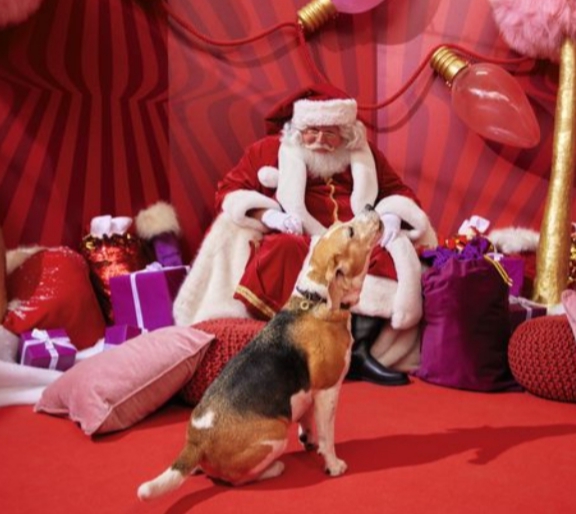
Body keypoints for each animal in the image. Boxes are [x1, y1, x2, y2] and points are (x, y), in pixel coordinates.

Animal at [137, 206, 383, 500]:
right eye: (351, 232)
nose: (369, 206)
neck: (315, 300)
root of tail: (197, 441)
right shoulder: (327, 391)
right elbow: (328, 436)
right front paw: (333, 464)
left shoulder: (309, 393)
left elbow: (307, 419)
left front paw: (309, 440)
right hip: (275, 434)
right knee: (237, 480)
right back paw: (274, 468)